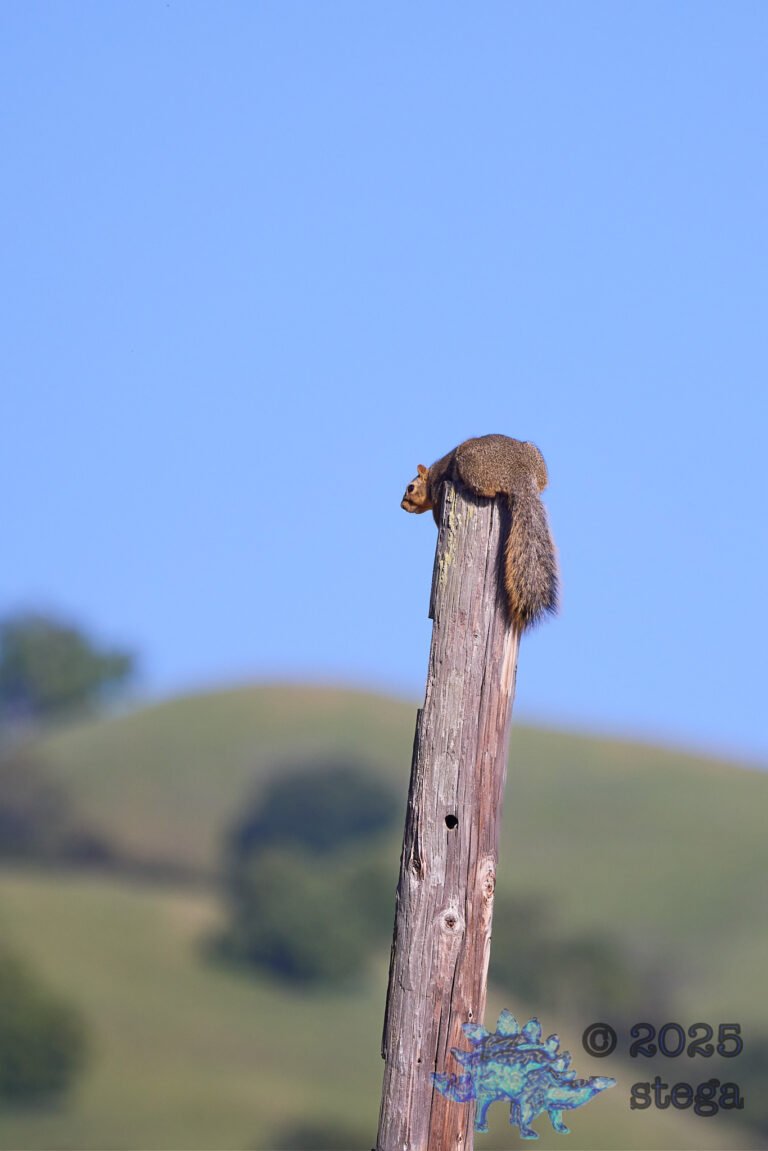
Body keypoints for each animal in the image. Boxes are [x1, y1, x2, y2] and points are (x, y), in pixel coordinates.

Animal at [400, 434, 558, 633]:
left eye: (410, 488)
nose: (402, 505)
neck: (430, 479)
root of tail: (519, 472)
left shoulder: (437, 493)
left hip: (469, 465)